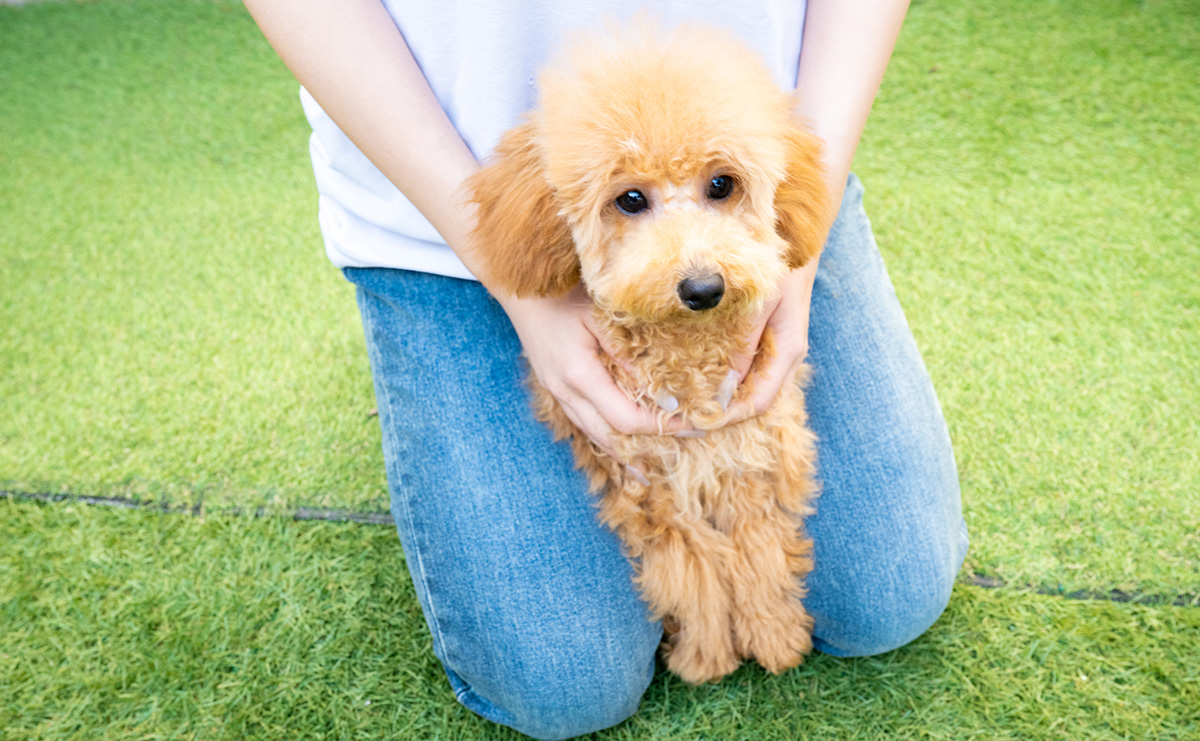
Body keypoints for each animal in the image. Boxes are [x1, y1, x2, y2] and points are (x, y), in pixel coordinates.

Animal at [463, 21, 830, 681]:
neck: (687, 358)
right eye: (630, 199)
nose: (703, 288)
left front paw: (775, 634)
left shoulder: (749, 454)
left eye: (722, 184)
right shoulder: (647, 480)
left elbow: (758, 547)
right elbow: (694, 567)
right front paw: (706, 656)